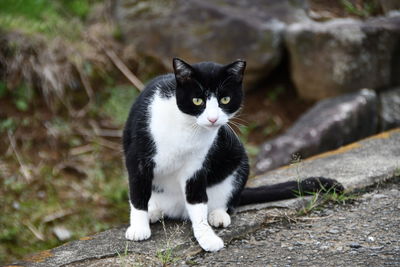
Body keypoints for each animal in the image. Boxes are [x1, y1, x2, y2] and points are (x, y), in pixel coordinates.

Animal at [123, 57, 342, 252]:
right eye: (197, 100)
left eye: (225, 99)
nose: (213, 119)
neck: (187, 126)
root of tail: (176, 209)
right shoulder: (138, 159)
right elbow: (138, 195)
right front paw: (139, 229)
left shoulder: (196, 165)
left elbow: (198, 200)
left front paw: (206, 236)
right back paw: (153, 211)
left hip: (239, 161)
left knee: (225, 201)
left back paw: (217, 215)